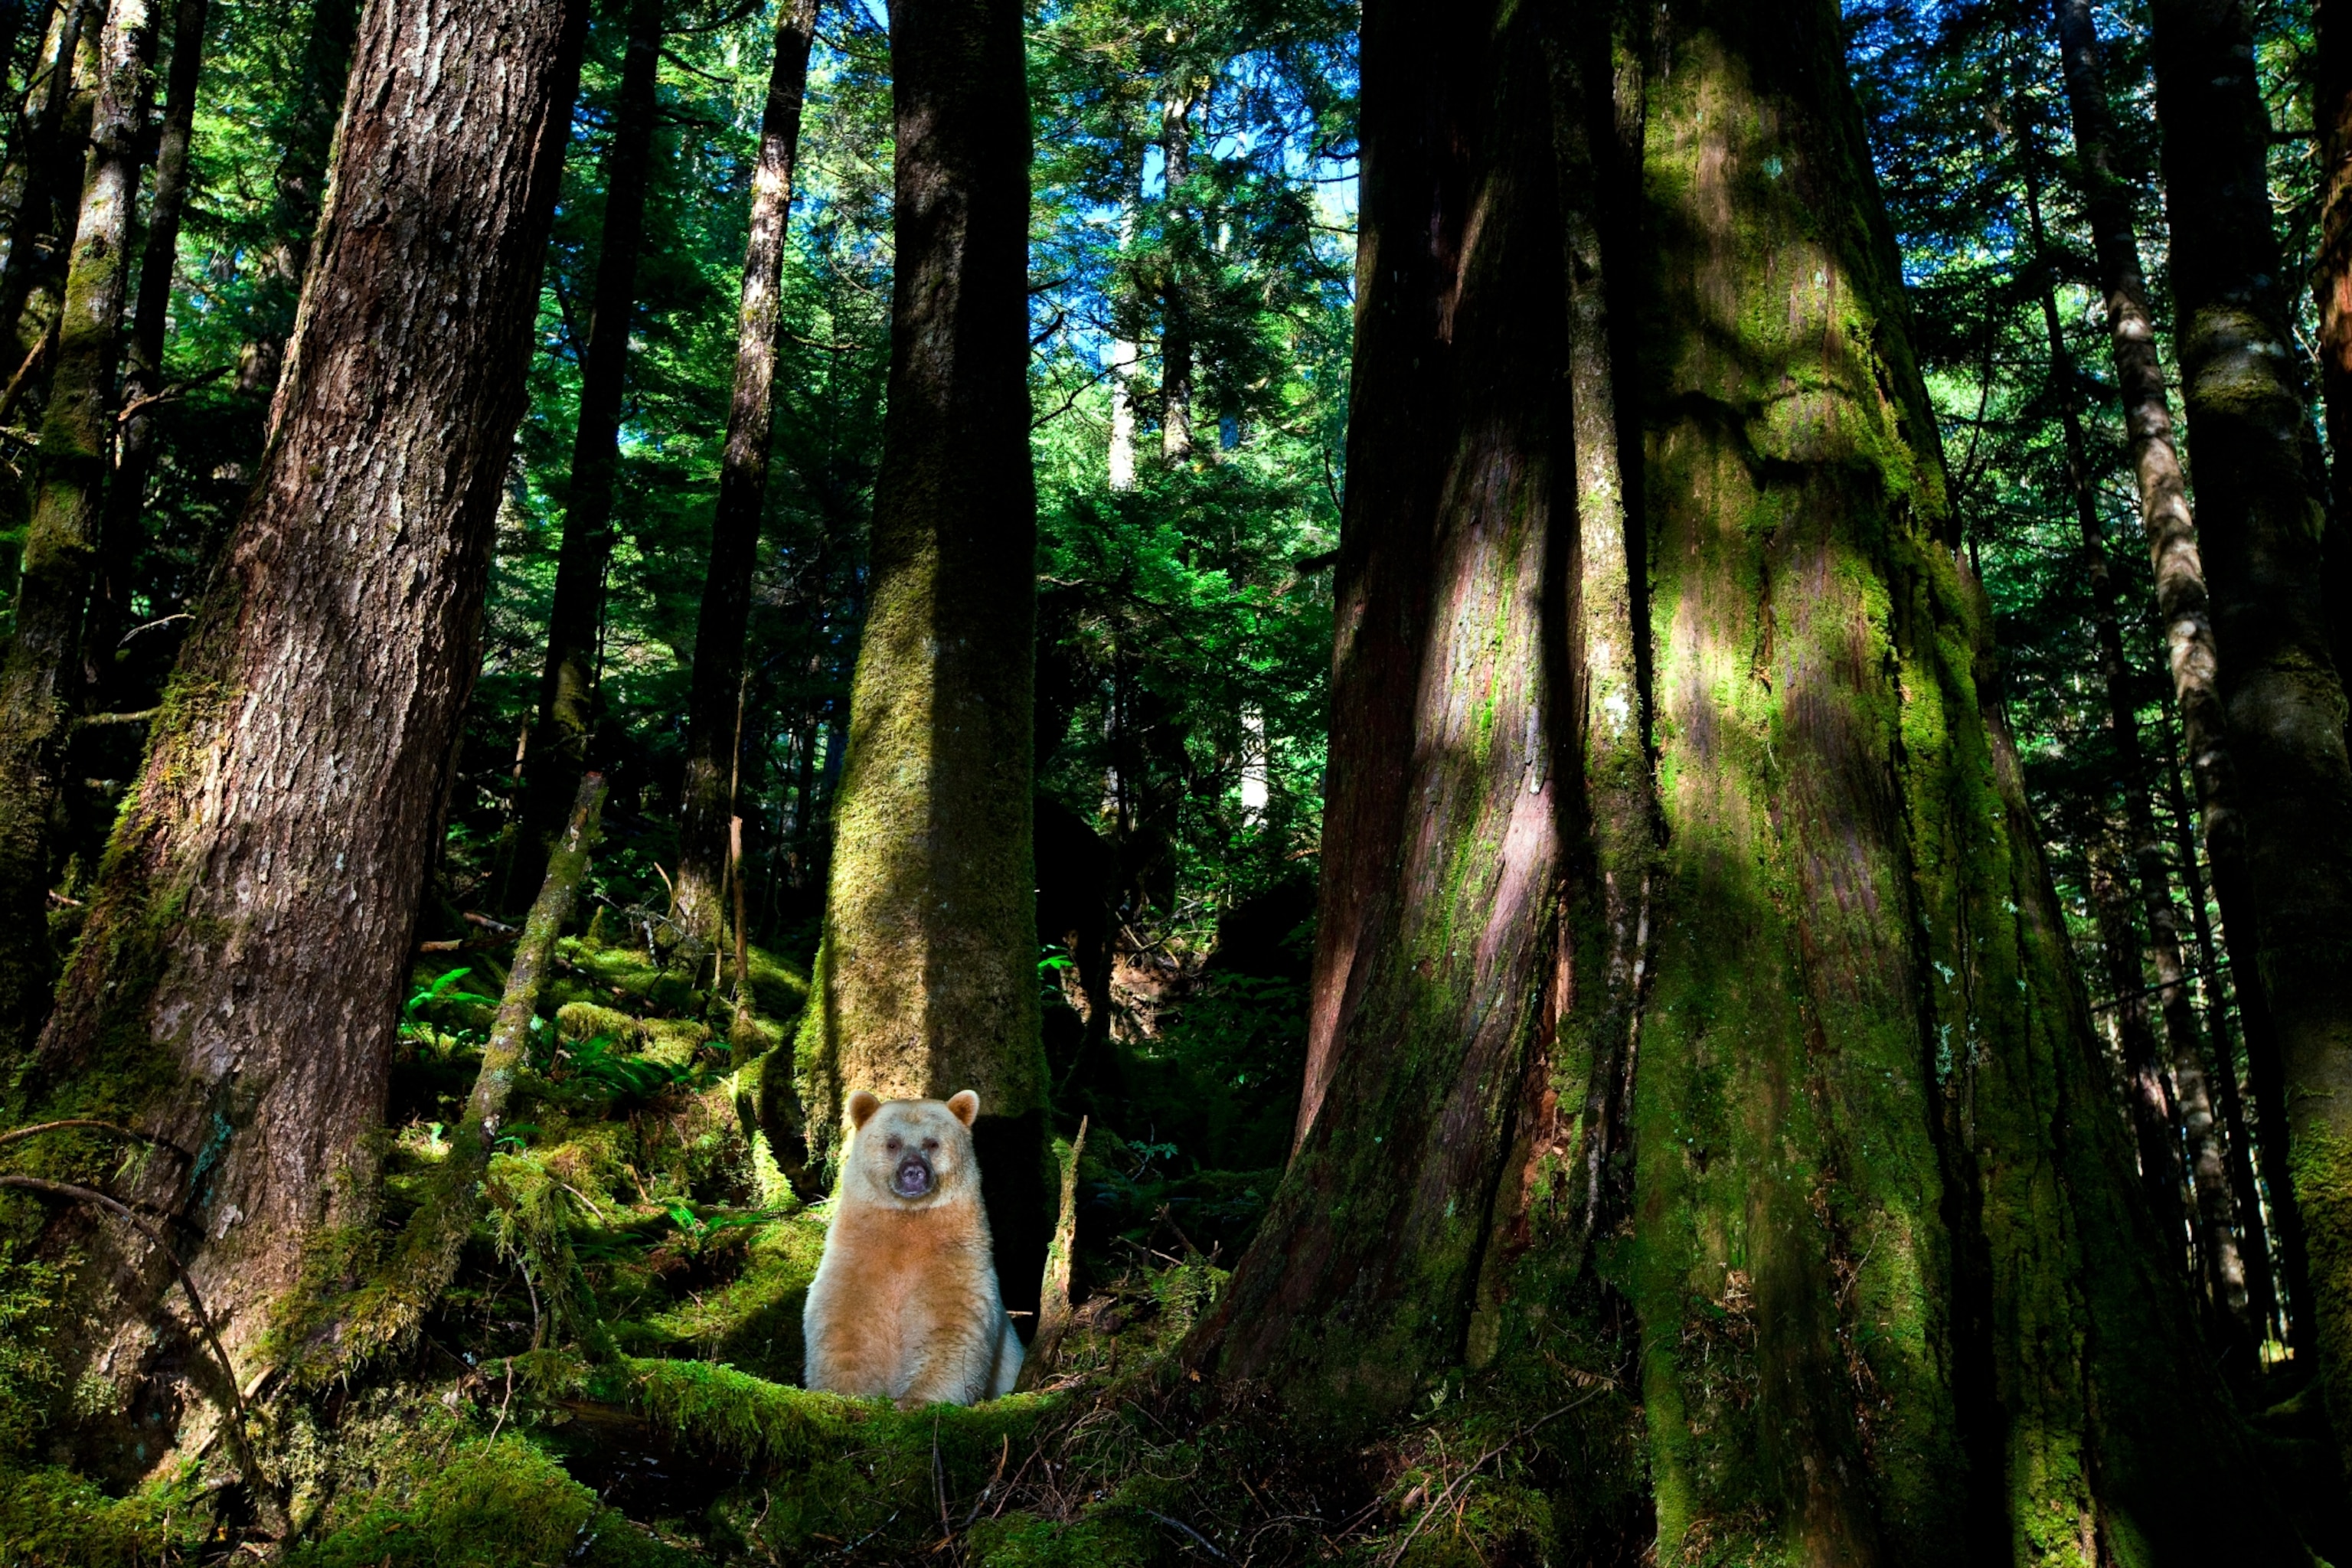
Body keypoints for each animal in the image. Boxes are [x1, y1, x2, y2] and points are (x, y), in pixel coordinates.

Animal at [802, 1088, 1024, 1407]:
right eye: (892, 1143)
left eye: (932, 1143)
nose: (913, 1172)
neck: (908, 1222)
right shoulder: (855, 1259)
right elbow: (842, 1325)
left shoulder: (957, 1260)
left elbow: (954, 1327)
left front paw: (916, 1400)